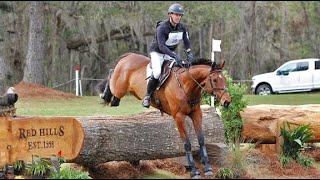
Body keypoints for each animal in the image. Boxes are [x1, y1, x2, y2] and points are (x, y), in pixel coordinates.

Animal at [97, 52, 230, 179]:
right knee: (111, 77)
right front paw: (194, 171)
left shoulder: (196, 113)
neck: (186, 85)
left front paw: (207, 168)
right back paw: (103, 93)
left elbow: (201, 140)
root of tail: (128, 56)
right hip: (119, 89)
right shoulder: (178, 117)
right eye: (214, 80)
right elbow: (187, 144)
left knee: (114, 98)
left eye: (224, 79)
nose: (227, 102)